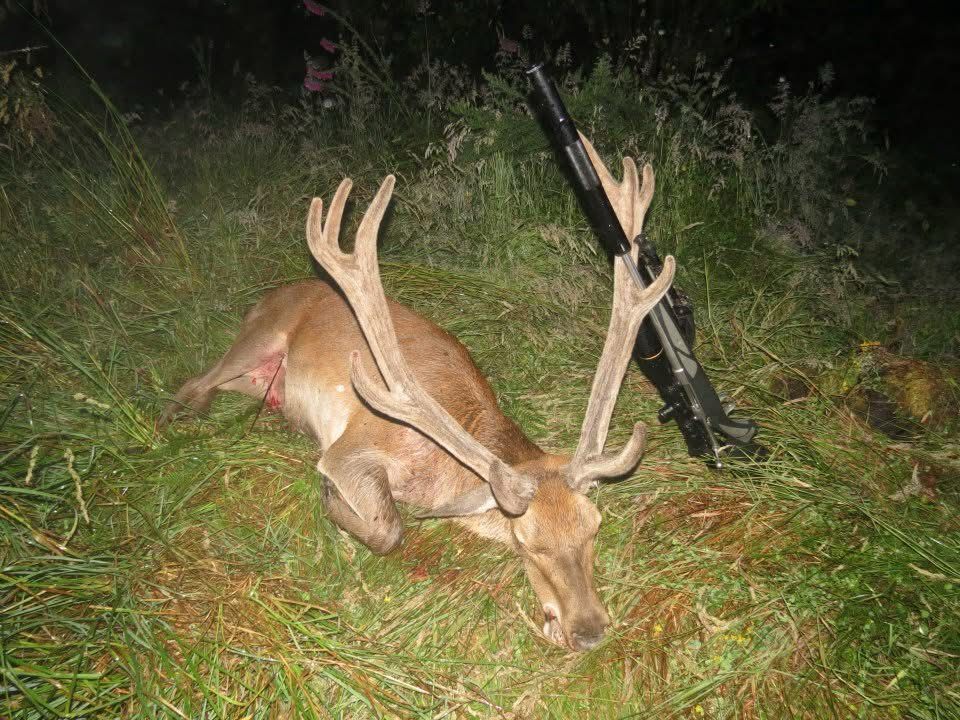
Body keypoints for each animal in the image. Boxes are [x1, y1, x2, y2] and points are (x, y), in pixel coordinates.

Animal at [159, 137, 675, 652]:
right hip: (260, 337)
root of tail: (266, 297)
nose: (589, 632)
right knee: (195, 380)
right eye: (525, 541)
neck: (437, 471)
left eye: (594, 527)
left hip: (262, 382)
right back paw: (178, 419)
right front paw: (331, 498)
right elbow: (389, 529)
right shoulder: (353, 445)